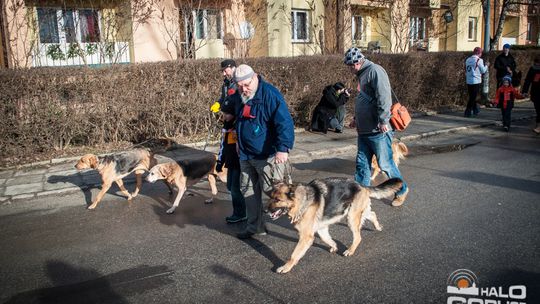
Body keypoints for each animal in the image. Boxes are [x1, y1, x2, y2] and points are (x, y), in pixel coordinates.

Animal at [268, 176, 402, 274]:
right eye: (270, 198)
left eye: (277, 200)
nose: (265, 211)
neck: (301, 201)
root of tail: (360, 185)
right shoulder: (321, 229)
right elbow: (327, 239)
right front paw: (334, 246)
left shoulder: (306, 237)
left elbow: (294, 254)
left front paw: (286, 267)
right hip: (359, 213)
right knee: (373, 214)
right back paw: (378, 227)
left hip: (351, 218)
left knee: (358, 237)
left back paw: (350, 250)